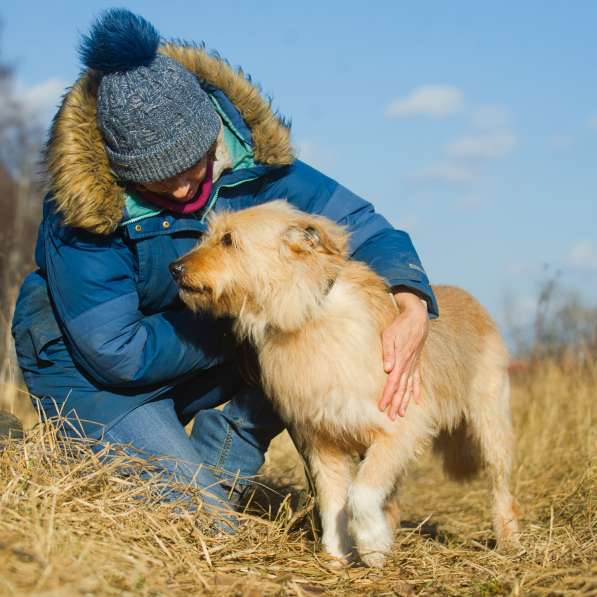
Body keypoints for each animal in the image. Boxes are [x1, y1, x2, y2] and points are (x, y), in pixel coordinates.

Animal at [170, 201, 520, 568]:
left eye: (228, 240)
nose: (174, 269)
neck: (308, 314)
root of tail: (472, 298)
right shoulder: (323, 443)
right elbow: (333, 502)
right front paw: (337, 557)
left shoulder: (399, 427)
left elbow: (360, 494)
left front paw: (371, 544)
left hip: (491, 428)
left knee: (502, 491)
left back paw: (509, 541)